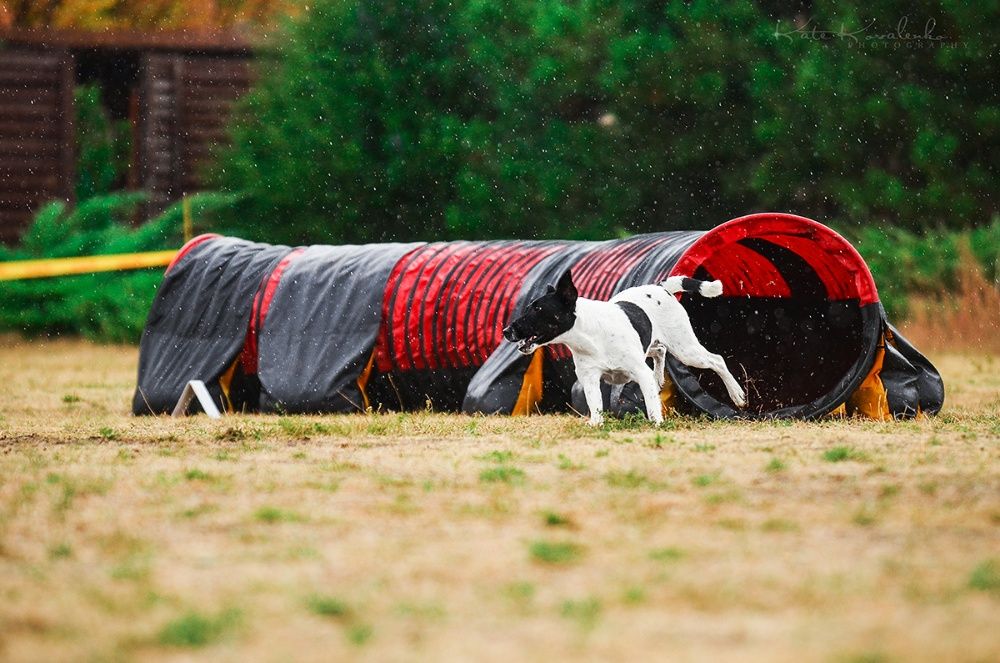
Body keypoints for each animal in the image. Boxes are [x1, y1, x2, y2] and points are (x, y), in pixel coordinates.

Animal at [504, 270, 748, 426]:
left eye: (537, 309)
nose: (506, 331)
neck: (592, 334)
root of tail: (663, 288)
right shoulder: (590, 378)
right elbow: (595, 404)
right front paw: (596, 423)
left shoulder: (640, 371)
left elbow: (652, 405)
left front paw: (658, 424)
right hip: (657, 345)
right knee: (659, 352)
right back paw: (659, 377)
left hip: (686, 349)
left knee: (716, 360)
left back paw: (737, 395)